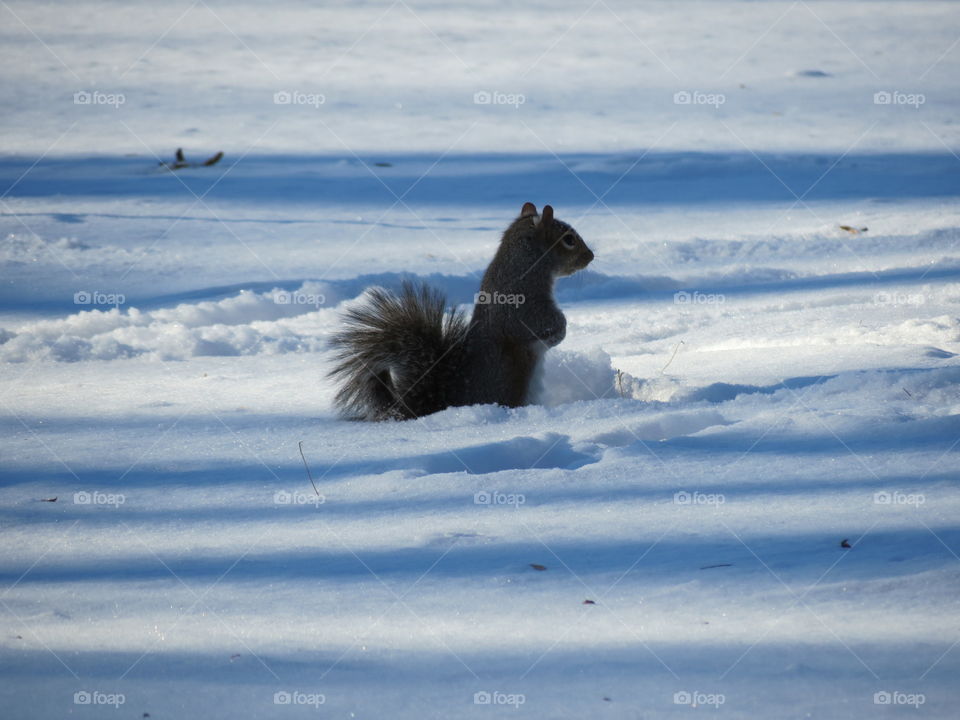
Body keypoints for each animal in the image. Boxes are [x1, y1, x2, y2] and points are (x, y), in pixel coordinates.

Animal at [328, 203, 594, 420]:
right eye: (569, 239)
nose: (590, 256)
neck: (524, 263)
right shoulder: (526, 304)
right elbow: (541, 324)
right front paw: (561, 330)